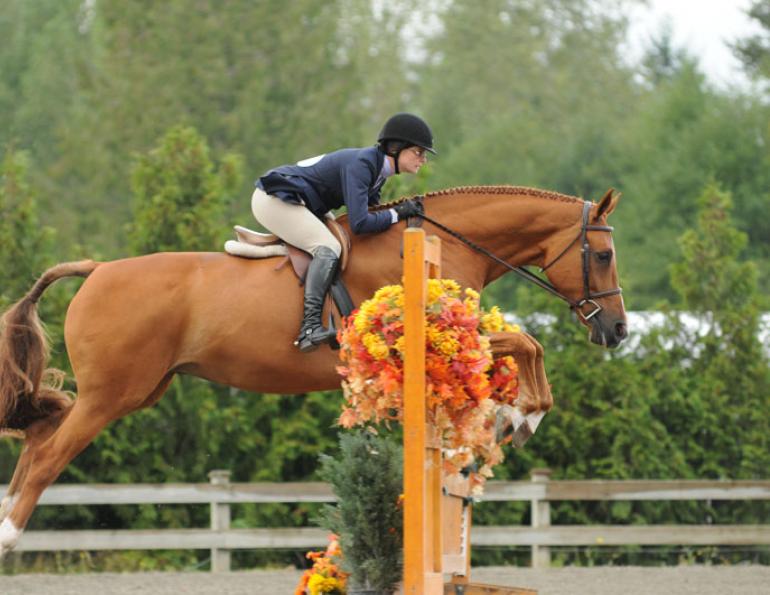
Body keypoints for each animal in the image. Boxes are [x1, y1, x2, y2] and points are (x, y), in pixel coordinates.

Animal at [0, 185, 626, 556]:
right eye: (602, 255)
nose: (618, 331)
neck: (441, 242)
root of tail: (97, 269)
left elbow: (525, 347)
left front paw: (514, 415)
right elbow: (526, 343)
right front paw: (520, 416)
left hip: (140, 390)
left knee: (37, 441)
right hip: (111, 396)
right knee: (48, 457)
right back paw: (10, 537)